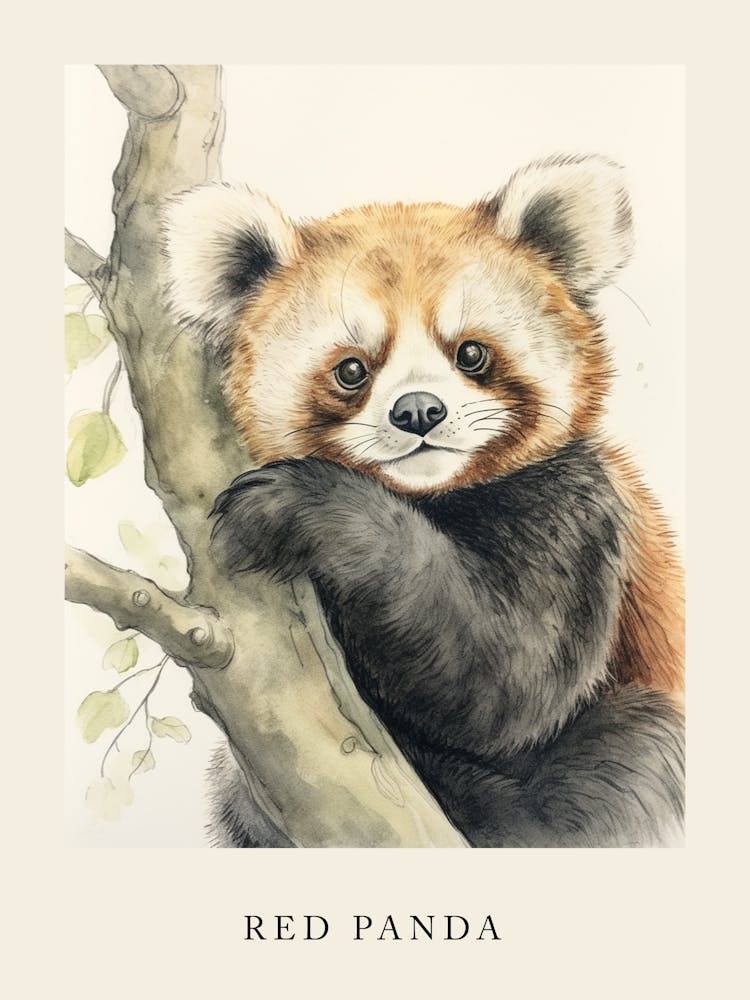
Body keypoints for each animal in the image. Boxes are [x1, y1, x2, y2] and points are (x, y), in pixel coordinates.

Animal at [163, 154, 684, 848]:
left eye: (471, 353)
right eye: (351, 370)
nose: (418, 411)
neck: (431, 497)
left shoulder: (579, 517)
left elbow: (507, 680)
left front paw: (302, 507)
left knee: (636, 759)